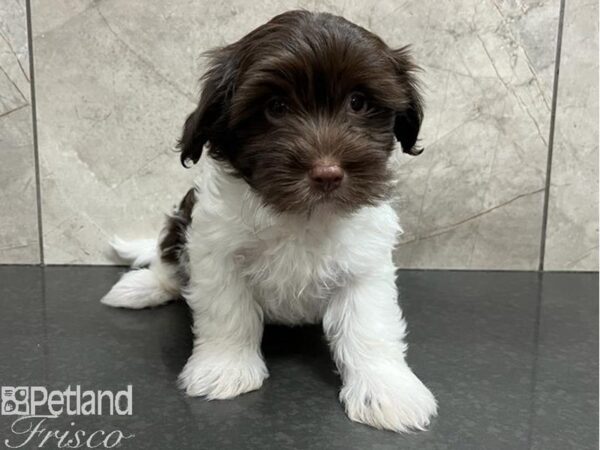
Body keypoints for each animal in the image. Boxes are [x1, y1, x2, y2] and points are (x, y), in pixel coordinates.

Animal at [102, 9, 436, 432]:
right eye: (276, 107)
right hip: (180, 223)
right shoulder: (215, 253)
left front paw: (387, 390)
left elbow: (370, 326)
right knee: (166, 261)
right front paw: (224, 368)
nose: (327, 173)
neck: (300, 214)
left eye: (358, 102)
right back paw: (143, 287)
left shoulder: (365, 265)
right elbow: (227, 314)